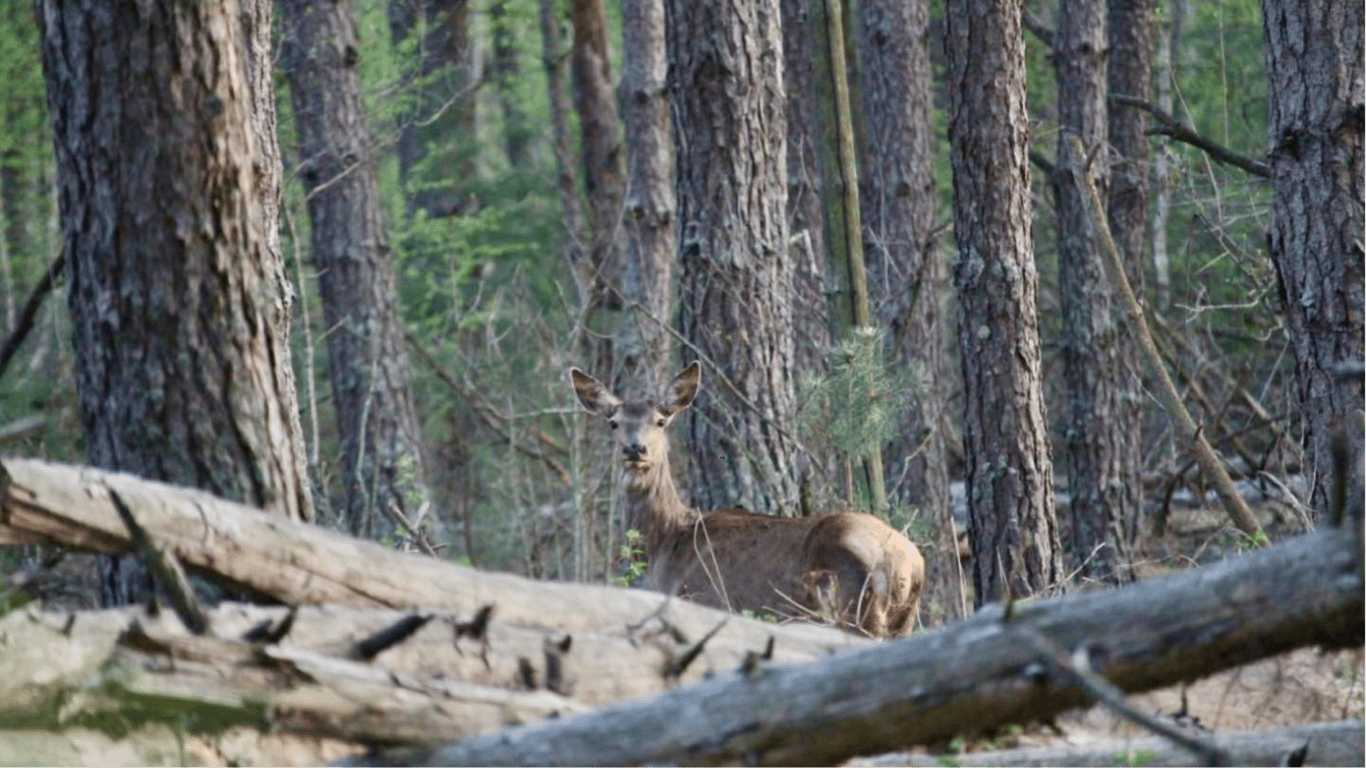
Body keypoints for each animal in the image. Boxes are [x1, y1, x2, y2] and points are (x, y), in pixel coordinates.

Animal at [570, 361, 925, 638]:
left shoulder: (704, 600)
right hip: (901, 621)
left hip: (856, 607)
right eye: (614, 422)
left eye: (660, 421)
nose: (634, 448)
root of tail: (907, 560)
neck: (667, 542)